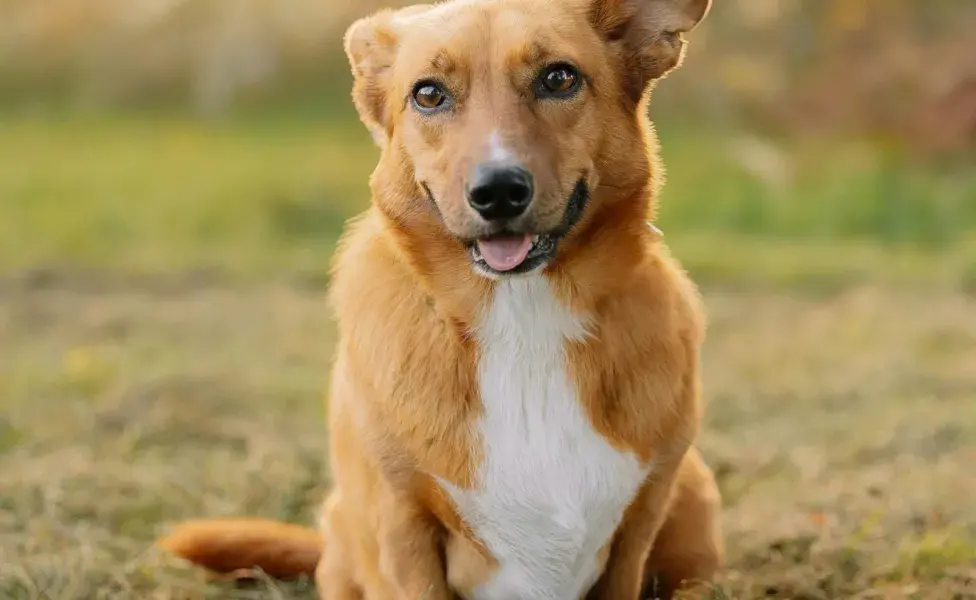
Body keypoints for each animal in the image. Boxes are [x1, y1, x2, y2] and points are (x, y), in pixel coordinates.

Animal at [158, 0, 724, 596]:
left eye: (559, 78)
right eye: (428, 94)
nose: (497, 192)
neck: (522, 316)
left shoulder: (638, 522)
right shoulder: (402, 525)